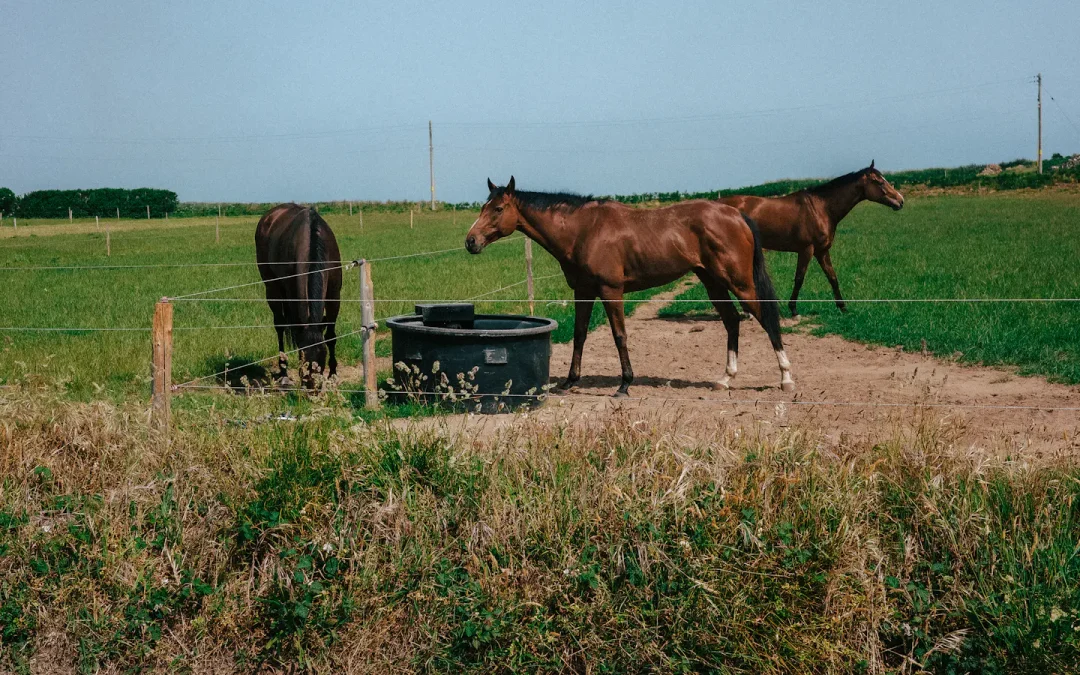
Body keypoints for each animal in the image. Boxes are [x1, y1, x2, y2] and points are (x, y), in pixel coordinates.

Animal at [255, 204, 342, 388]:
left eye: (322, 355)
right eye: (302, 356)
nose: (311, 387)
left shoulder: (334, 295)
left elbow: (331, 336)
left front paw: (333, 374)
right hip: (272, 289)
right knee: (280, 325)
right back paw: (283, 372)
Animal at [465, 177, 794, 397]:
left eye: (498, 208)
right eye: (483, 206)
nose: (471, 241)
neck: (583, 230)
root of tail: (736, 214)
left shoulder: (611, 291)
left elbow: (619, 336)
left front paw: (624, 384)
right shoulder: (583, 292)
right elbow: (580, 335)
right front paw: (570, 381)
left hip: (738, 282)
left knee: (767, 319)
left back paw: (786, 379)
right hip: (712, 281)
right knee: (732, 322)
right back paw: (725, 378)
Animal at [719, 161, 904, 316]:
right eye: (879, 182)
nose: (900, 201)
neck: (820, 208)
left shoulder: (822, 251)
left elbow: (832, 277)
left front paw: (842, 307)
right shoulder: (806, 250)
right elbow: (799, 278)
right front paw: (793, 309)